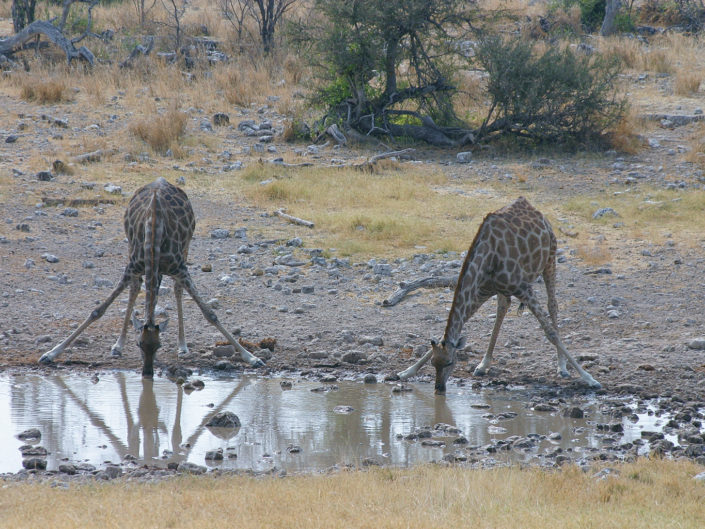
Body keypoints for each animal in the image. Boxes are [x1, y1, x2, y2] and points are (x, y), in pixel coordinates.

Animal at [39, 177, 265, 377]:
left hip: (185, 247)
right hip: (131, 248)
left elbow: (210, 314)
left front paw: (252, 357)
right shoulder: (132, 266)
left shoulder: (180, 268)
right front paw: (50, 354)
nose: (147, 372)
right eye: (139, 344)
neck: (154, 231)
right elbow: (98, 310)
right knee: (136, 287)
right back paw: (118, 345)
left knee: (175, 289)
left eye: (159, 346)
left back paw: (182, 346)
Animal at [397, 197, 600, 394]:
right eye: (434, 363)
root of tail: (533, 208)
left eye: (449, 362)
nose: (439, 388)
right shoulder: (482, 291)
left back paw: (562, 367)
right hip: (503, 289)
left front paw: (590, 379)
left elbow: (550, 332)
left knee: (553, 305)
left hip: (550, 259)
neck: (487, 258)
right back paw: (483, 365)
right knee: (503, 307)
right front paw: (406, 371)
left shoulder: (523, 288)